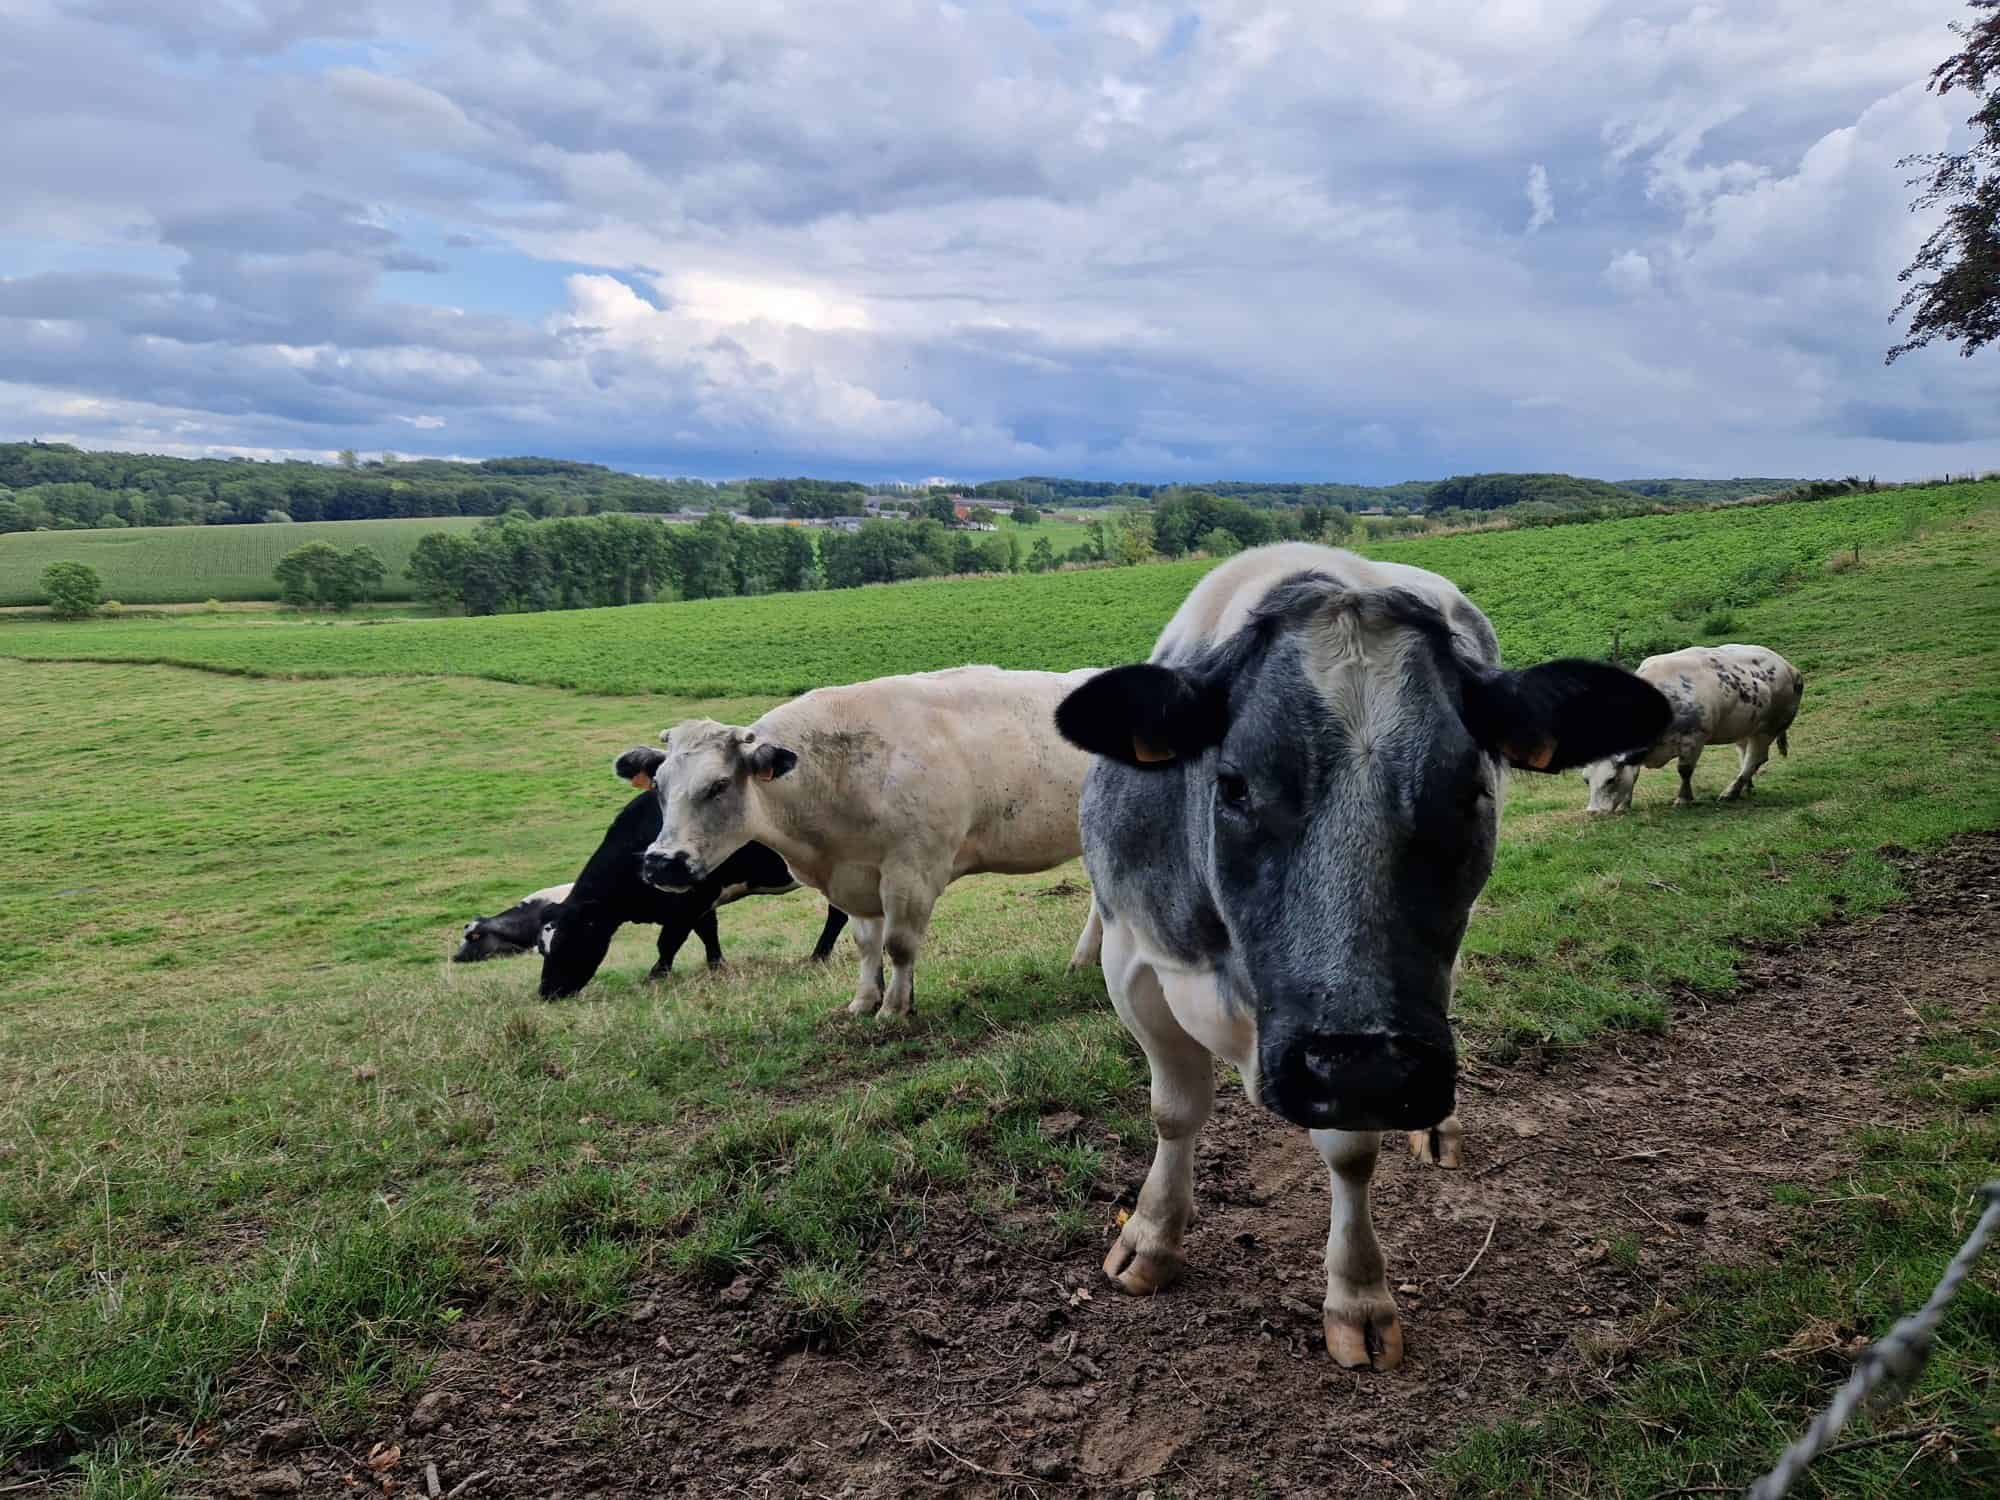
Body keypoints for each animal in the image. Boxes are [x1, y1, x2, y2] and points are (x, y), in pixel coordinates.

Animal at [631, 664, 1106, 1018]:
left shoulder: (913, 869)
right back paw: (1083, 962)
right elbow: (865, 944)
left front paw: (895, 1008)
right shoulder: (855, 876)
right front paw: (863, 1001)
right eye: (658, 784)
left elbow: (898, 944)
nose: (660, 862)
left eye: (719, 785)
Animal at [1052, 543, 1670, 1370]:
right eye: (1233, 784)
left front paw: (1358, 1295)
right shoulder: (1134, 959)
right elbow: (1174, 1112)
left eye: (1471, 788)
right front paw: (1151, 1238)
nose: (1364, 1068)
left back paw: (1439, 1131)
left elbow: (1349, 1155)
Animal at [1581, 644, 1803, 813]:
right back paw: (1746, 787)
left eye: (1610, 779)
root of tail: (1789, 667)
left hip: (1769, 727)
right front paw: (1624, 806)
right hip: (1746, 727)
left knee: (1755, 758)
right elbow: (1633, 775)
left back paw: (1730, 792)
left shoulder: (1694, 739)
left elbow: (1684, 771)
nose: (1593, 812)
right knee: (1745, 755)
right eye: (1586, 780)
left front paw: (1683, 798)